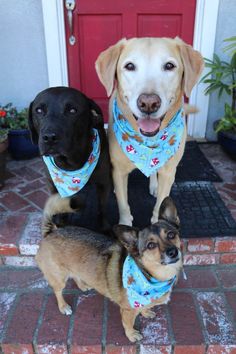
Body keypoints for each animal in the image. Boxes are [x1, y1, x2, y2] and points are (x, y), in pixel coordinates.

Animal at [28, 87, 111, 232]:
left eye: (72, 110)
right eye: (38, 110)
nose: (49, 137)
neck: (71, 165)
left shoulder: (103, 183)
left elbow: (102, 209)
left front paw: (105, 228)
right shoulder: (53, 185)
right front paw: (60, 223)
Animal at [36, 195, 183, 342]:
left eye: (171, 235)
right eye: (151, 245)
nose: (173, 252)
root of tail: (52, 231)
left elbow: (145, 307)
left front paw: (146, 312)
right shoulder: (127, 310)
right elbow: (128, 324)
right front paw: (132, 335)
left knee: (76, 275)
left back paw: (83, 286)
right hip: (59, 278)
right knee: (58, 292)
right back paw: (63, 307)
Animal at [95, 37, 204, 225]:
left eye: (169, 66)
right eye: (130, 66)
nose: (148, 103)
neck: (146, 143)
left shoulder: (169, 172)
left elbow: (161, 203)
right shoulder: (119, 170)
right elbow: (123, 205)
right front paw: (125, 224)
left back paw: (154, 184)